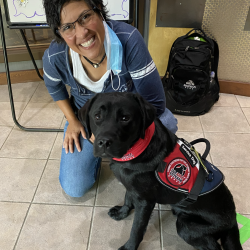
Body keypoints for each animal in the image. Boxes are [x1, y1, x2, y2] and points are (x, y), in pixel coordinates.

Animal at [78, 92, 242, 250]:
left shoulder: (145, 202)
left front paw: (129, 247)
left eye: (125, 118)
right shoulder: (131, 185)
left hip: (186, 226)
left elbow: (136, 229)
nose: (104, 142)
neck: (136, 150)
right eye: (97, 116)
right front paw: (122, 213)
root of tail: (233, 218)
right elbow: (127, 198)